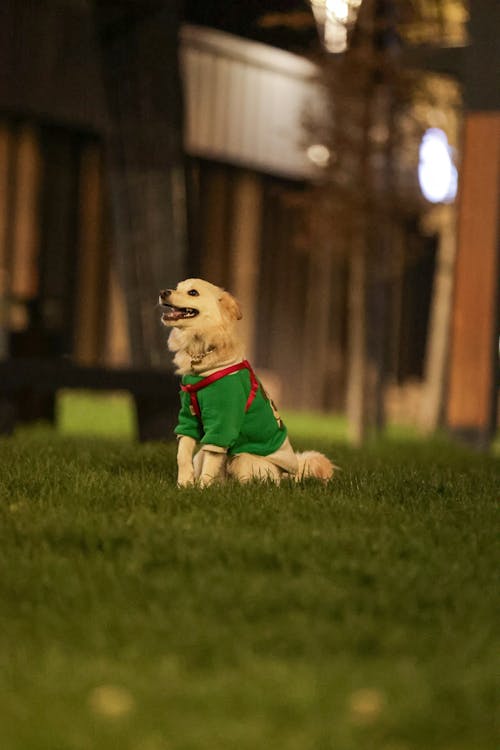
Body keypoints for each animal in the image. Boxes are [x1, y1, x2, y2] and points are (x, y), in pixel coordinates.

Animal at [158, 280, 334, 490]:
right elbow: (182, 454)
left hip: (243, 459)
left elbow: (211, 462)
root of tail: (285, 475)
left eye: (193, 292)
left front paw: (201, 489)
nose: (163, 292)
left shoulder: (223, 424)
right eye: (177, 287)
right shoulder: (188, 418)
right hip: (202, 456)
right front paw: (184, 484)